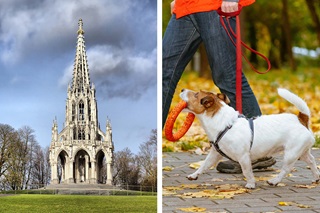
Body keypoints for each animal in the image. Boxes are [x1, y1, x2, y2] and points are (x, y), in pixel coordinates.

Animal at [182, 88, 320, 188]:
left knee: (286, 169)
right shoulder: (215, 154)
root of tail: (301, 118)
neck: (224, 123)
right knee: (312, 161)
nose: (182, 89)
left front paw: (250, 184)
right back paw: (316, 177)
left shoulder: (243, 157)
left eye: (196, 94)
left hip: (291, 154)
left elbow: (247, 171)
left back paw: (274, 181)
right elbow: (204, 165)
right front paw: (194, 175)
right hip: (302, 152)